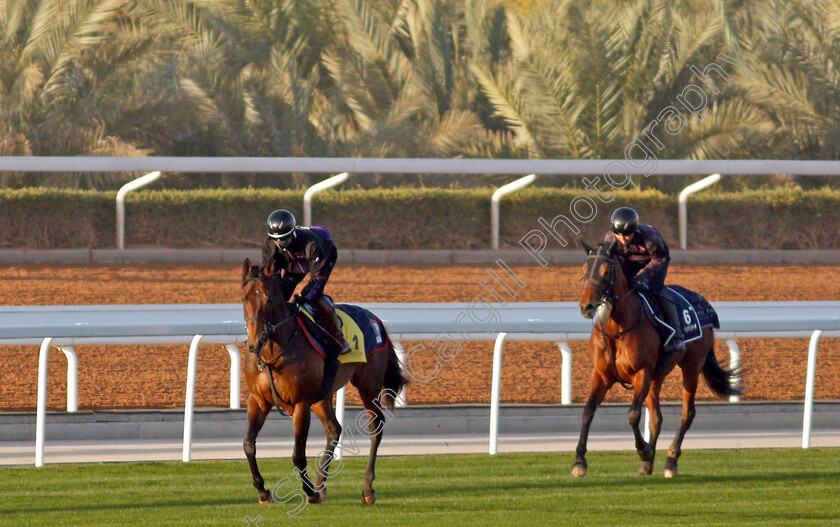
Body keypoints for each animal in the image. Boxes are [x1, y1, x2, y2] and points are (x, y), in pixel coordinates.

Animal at [240, 258, 406, 506]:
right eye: (244, 298)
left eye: (268, 299)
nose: (254, 342)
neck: (272, 354)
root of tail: (375, 319)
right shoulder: (258, 400)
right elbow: (249, 445)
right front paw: (263, 491)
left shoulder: (300, 403)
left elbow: (298, 454)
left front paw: (309, 493)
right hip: (322, 396)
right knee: (334, 429)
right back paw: (321, 484)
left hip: (368, 385)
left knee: (376, 426)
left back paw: (367, 489)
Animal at [576, 242, 740, 478]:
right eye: (584, 270)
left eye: (606, 272)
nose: (586, 306)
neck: (617, 329)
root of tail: (705, 305)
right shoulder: (602, 374)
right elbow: (588, 411)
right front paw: (579, 461)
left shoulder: (642, 373)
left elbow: (633, 415)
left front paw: (643, 450)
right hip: (657, 376)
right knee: (656, 418)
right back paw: (648, 465)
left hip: (692, 366)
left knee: (687, 413)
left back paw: (670, 460)